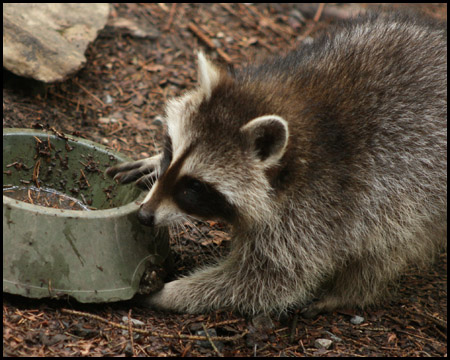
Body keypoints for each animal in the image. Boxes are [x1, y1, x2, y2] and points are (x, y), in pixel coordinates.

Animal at [107, 10, 448, 316]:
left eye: (194, 187)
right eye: (170, 153)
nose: (144, 216)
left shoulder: (315, 208)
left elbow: (269, 280)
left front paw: (169, 292)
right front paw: (153, 163)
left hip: (416, 192)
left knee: (387, 245)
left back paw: (349, 293)